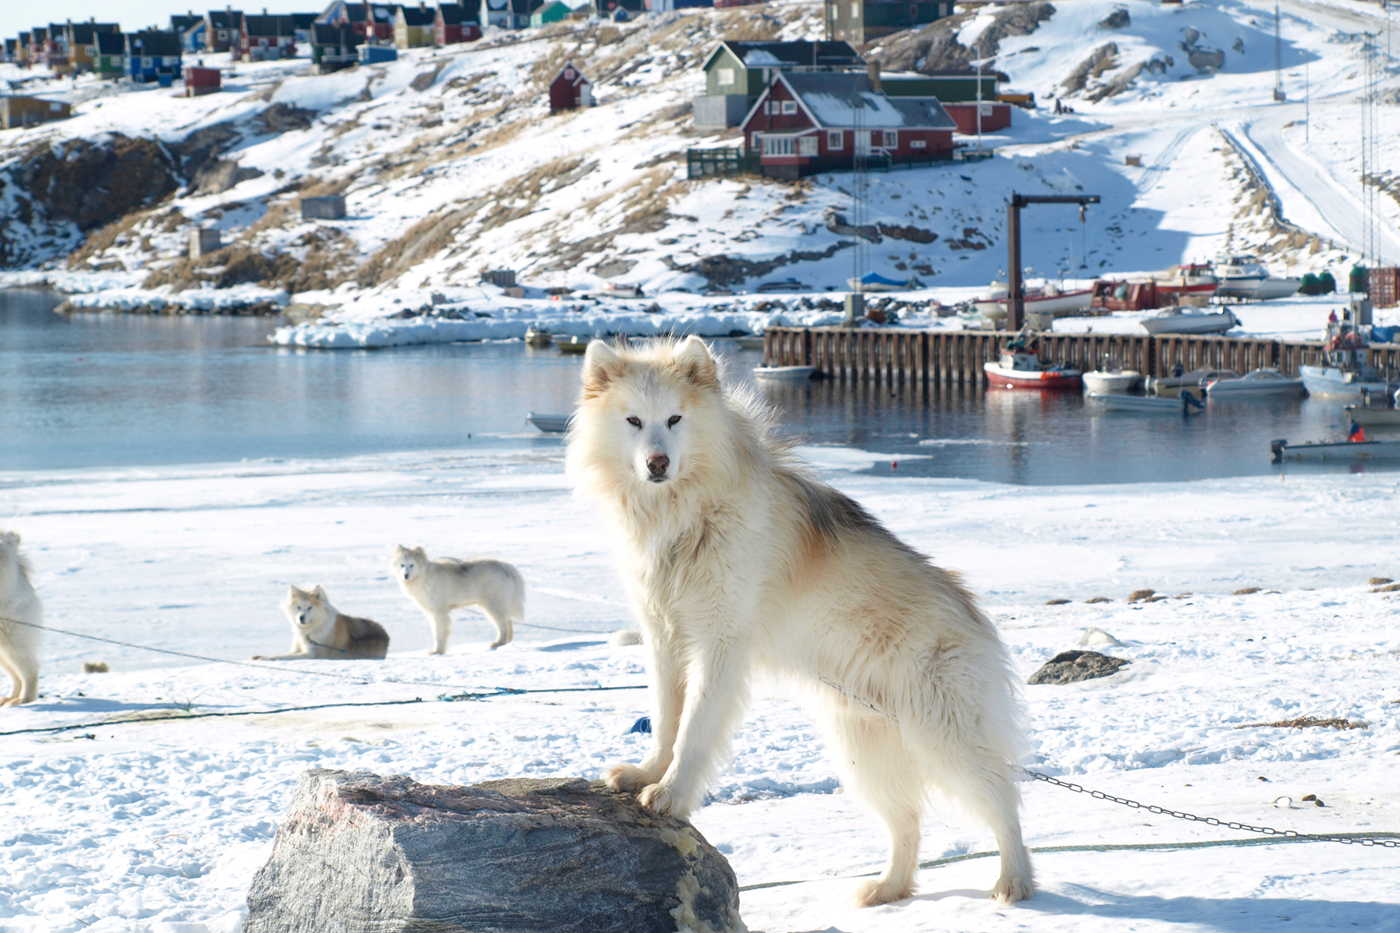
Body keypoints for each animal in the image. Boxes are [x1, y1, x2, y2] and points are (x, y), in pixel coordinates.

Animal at [389, 540, 526, 650]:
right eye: (402, 565)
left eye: (412, 565)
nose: (405, 575)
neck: (425, 576)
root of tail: (507, 567)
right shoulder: (430, 612)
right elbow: (435, 632)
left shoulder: (439, 612)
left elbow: (439, 634)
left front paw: (437, 651)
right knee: (508, 621)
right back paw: (506, 643)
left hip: (492, 605)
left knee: (503, 624)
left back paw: (498, 643)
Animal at [562, 337, 1036, 902]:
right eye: (633, 420)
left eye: (675, 418)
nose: (658, 462)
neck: (681, 514)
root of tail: (976, 616)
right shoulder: (664, 637)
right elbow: (666, 719)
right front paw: (647, 772)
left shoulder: (720, 643)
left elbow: (694, 729)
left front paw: (672, 792)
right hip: (863, 752)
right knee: (908, 824)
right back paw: (887, 889)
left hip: (946, 740)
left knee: (1004, 802)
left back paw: (1014, 881)